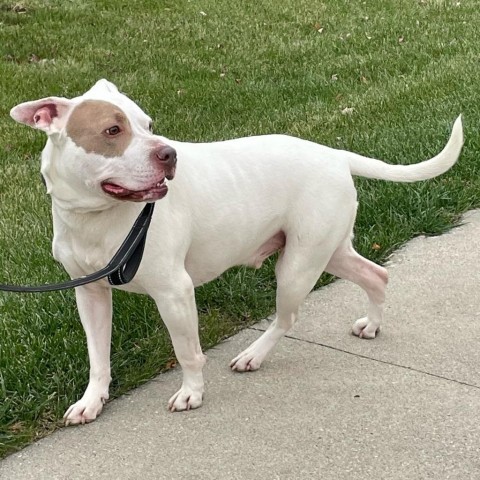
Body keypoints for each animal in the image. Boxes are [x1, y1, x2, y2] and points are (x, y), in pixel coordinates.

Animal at [9, 80, 464, 426]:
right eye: (111, 131)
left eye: (148, 124)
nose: (168, 153)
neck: (94, 217)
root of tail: (334, 154)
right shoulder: (90, 294)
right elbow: (97, 355)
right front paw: (92, 400)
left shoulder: (174, 292)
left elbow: (187, 352)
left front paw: (192, 393)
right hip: (329, 251)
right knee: (376, 274)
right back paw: (372, 324)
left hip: (297, 266)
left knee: (288, 316)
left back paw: (253, 355)